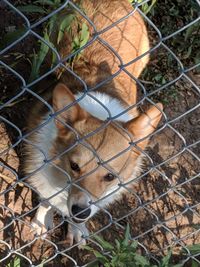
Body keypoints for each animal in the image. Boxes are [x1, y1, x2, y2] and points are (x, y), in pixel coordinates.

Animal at [24, 0, 163, 247]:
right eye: (74, 166)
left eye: (109, 177)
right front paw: (41, 222)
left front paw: (77, 227)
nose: (80, 212)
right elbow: (47, 200)